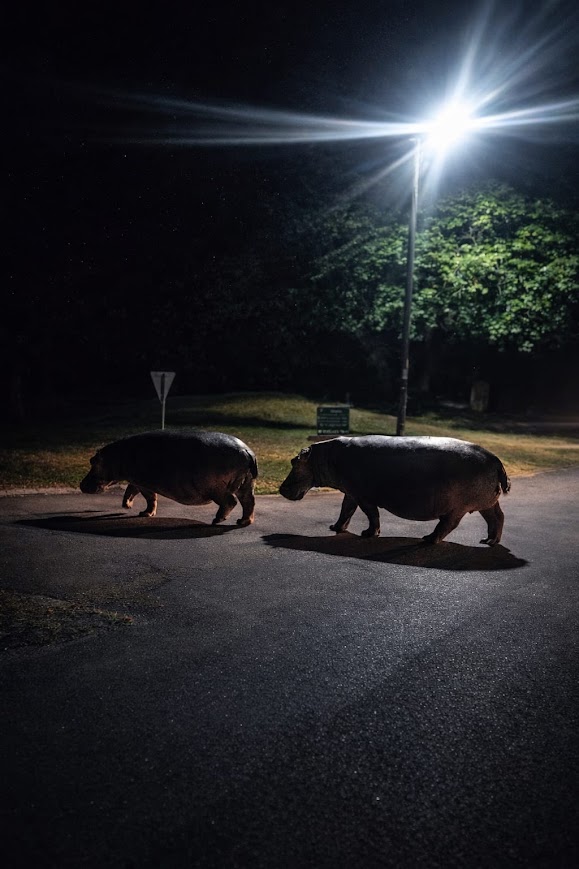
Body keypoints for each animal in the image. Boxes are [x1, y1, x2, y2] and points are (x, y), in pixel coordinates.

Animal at [80, 430, 257, 526]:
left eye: (93, 461)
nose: (81, 484)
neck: (116, 456)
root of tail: (247, 451)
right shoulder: (136, 480)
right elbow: (130, 491)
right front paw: (128, 507)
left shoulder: (143, 483)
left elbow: (149, 498)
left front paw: (144, 513)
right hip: (246, 484)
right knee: (249, 502)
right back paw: (242, 522)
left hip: (216, 489)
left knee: (230, 501)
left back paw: (217, 520)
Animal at [279, 435, 510, 545]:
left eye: (293, 461)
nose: (281, 488)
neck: (325, 457)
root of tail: (496, 459)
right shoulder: (351, 492)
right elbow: (345, 510)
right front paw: (335, 528)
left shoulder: (363, 495)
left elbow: (371, 514)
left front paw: (368, 534)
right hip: (486, 503)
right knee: (497, 517)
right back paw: (489, 541)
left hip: (458, 508)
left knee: (448, 524)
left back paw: (428, 539)